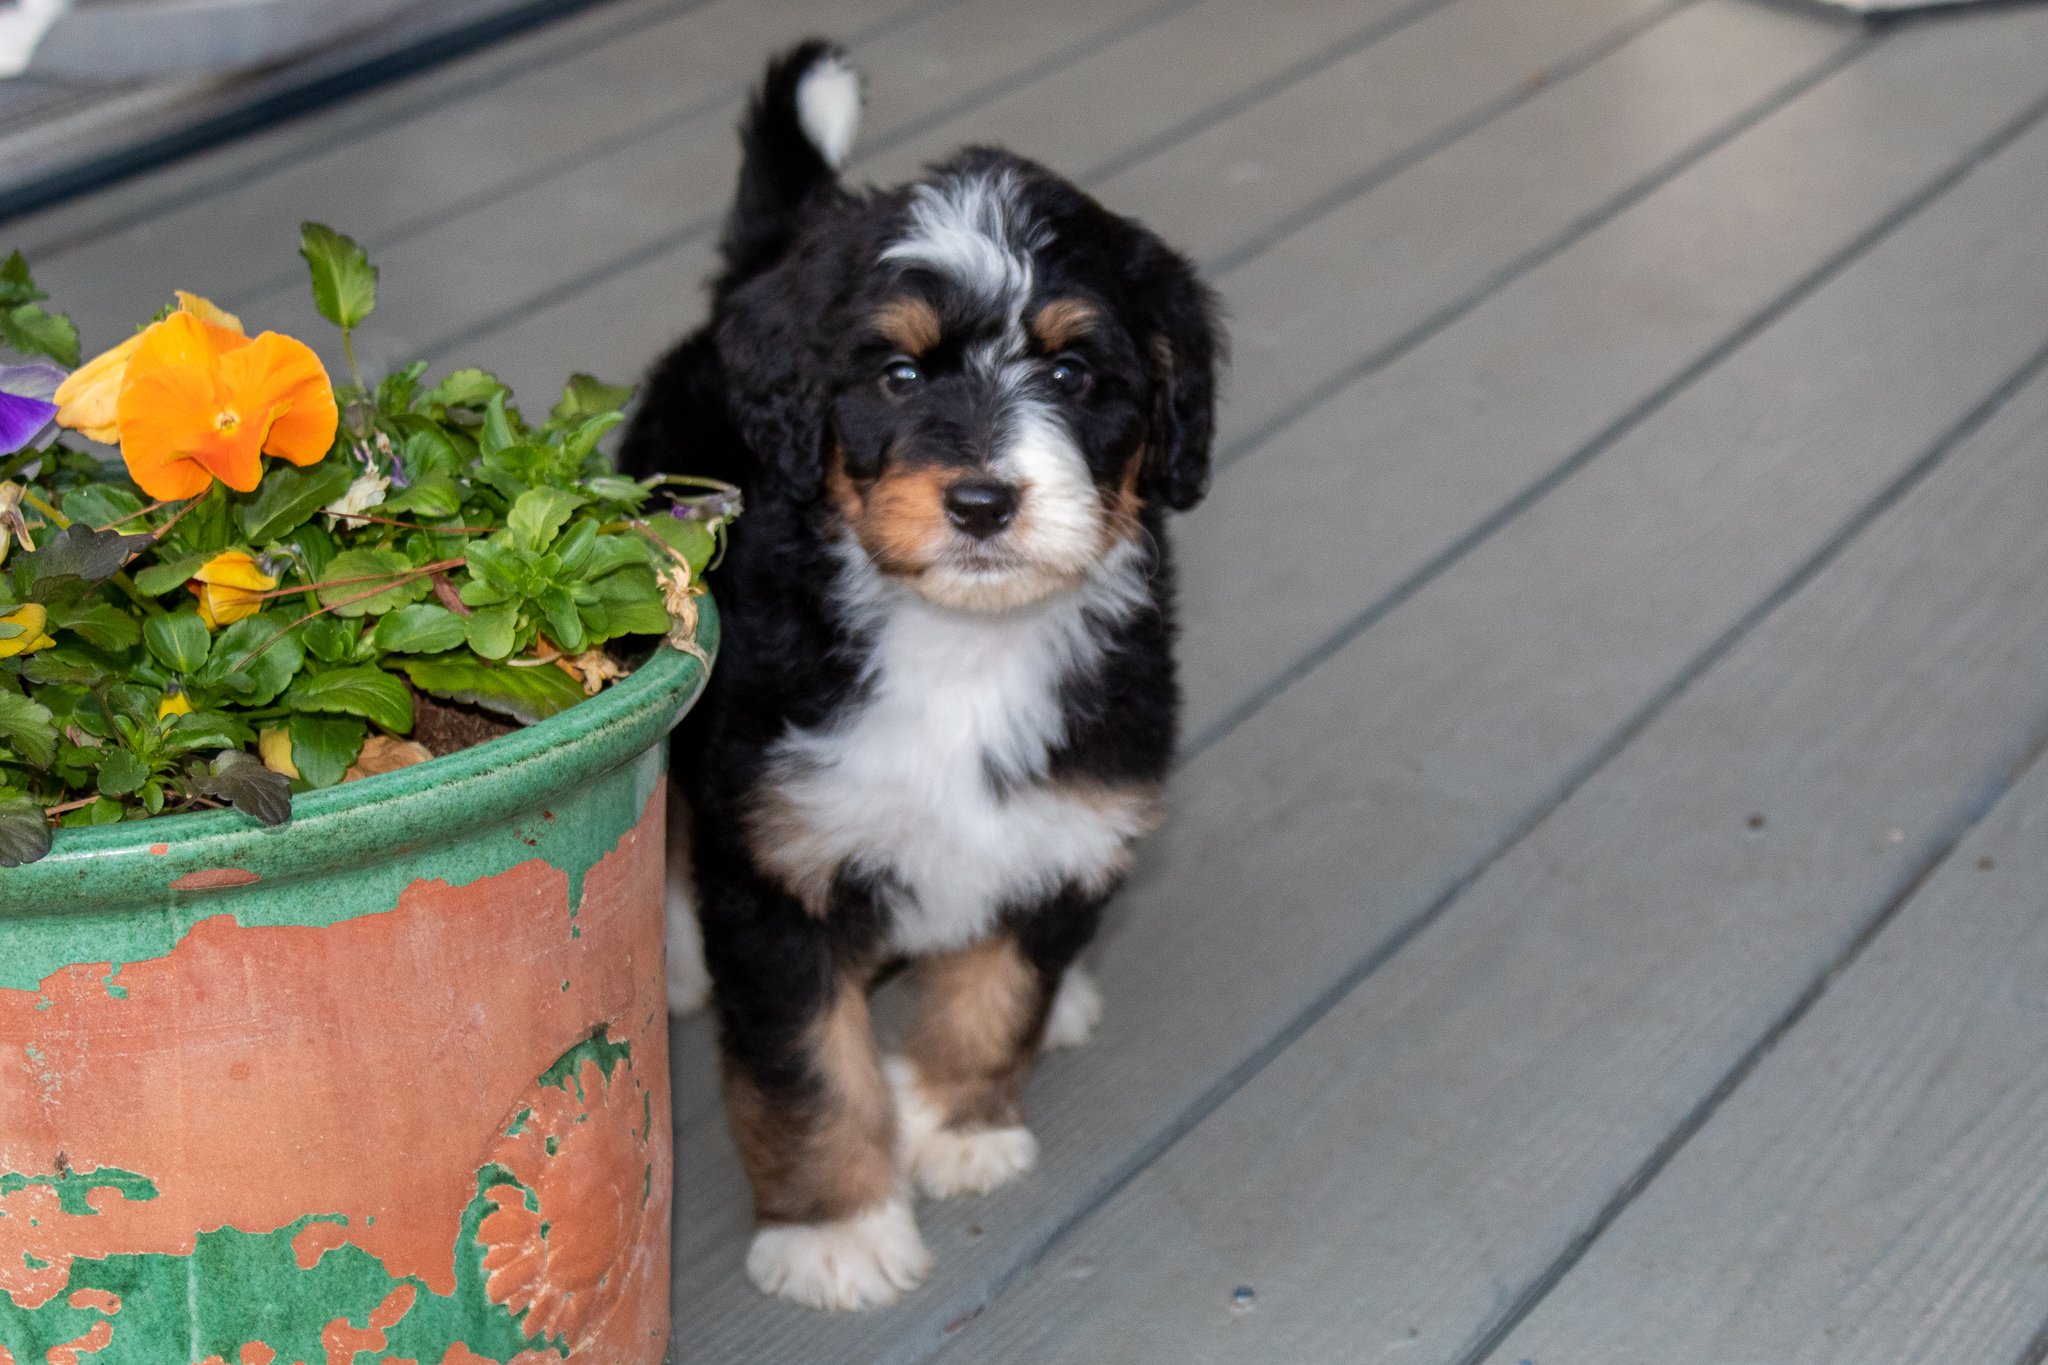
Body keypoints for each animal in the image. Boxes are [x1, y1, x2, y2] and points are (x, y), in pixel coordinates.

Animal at [614, 40, 1220, 1309]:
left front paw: (957, 1125)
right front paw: (834, 1232)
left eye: (1073, 374)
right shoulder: (783, 861)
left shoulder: (1075, 792)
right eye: (895, 375)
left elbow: (999, 993)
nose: (982, 501)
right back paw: (679, 955)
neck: (964, 644)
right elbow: (805, 1072)